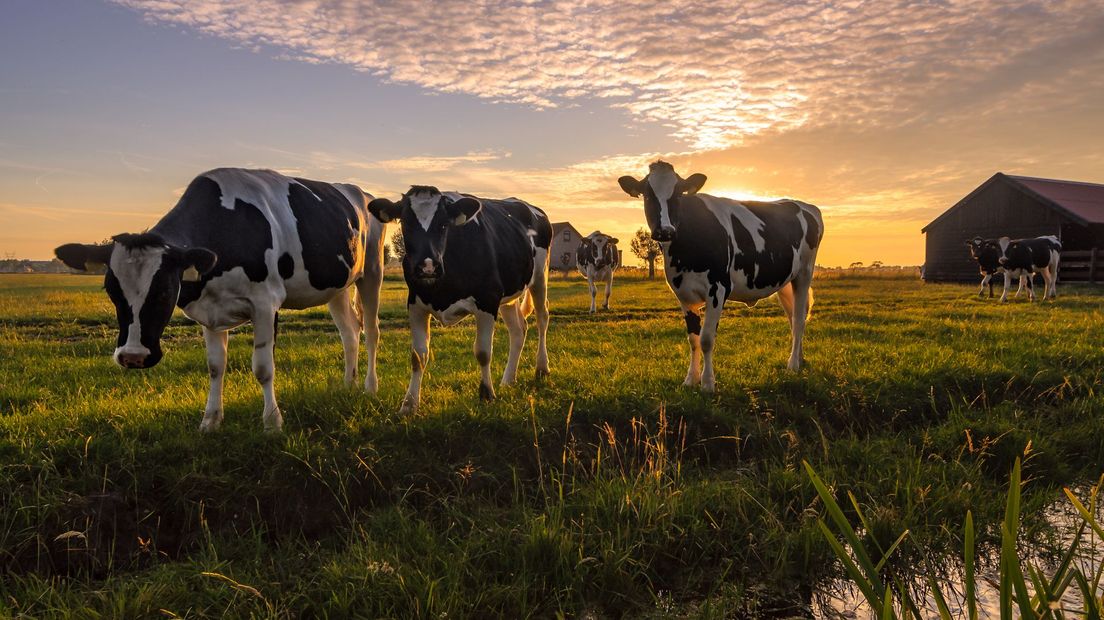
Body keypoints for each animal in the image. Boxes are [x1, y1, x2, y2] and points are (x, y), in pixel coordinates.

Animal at [53, 166, 386, 432]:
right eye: (111, 290)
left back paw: (369, 388)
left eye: (164, 289)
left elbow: (263, 368)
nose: (133, 356)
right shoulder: (209, 311)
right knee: (349, 332)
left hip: (372, 272)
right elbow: (216, 366)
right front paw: (210, 421)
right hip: (338, 286)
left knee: (370, 331)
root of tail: (360, 191)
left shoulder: (266, 303)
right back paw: (347, 385)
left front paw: (272, 423)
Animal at [366, 185, 552, 412]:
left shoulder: (487, 300)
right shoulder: (416, 304)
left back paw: (542, 368)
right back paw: (508, 379)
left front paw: (487, 395)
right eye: (406, 223)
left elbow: (483, 352)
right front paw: (409, 404)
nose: (428, 266)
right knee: (518, 329)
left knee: (542, 318)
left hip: (540, 276)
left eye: (444, 224)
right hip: (509, 293)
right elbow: (418, 356)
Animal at [618, 159, 825, 390]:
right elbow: (693, 339)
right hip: (786, 281)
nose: (665, 230)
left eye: (679, 194)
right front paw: (690, 380)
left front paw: (708, 384)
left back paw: (793, 365)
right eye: (646, 195)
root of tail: (804, 205)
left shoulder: (718, 288)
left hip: (804, 274)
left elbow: (707, 339)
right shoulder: (683, 294)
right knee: (794, 317)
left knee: (798, 319)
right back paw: (800, 359)